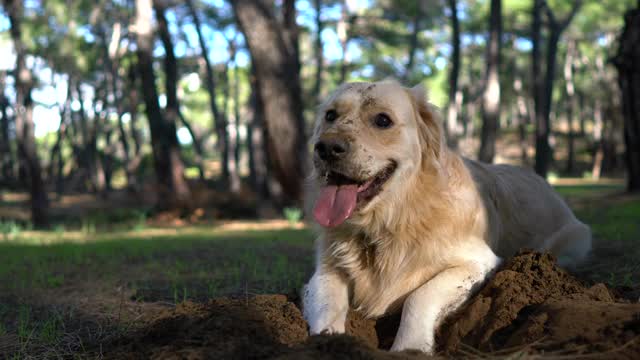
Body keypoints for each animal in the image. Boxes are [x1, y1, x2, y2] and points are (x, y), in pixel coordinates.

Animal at [302, 80, 592, 352]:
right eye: (330, 115)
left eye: (383, 120)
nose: (326, 148)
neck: (392, 220)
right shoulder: (325, 270)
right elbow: (328, 304)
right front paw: (328, 342)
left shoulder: (478, 262)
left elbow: (419, 296)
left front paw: (409, 347)